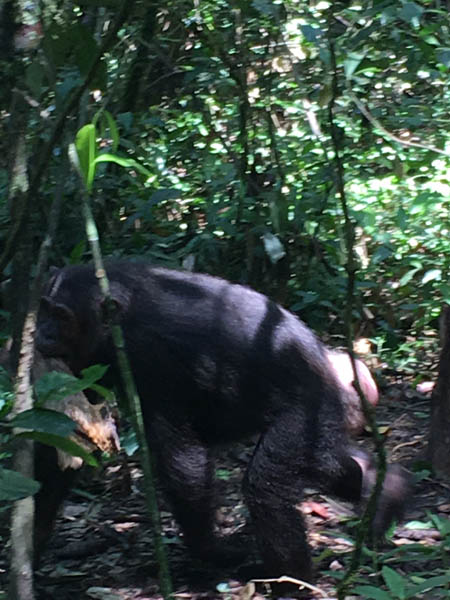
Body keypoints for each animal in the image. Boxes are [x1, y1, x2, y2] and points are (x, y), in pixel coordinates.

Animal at [36, 262, 412, 584]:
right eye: (44, 309)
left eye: (61, 316)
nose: (43, 333)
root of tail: (332, 364)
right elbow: (67, 433)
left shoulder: (154, 356)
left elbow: (182, 458)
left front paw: (213, 550)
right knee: (329, 463)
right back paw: (385, 487)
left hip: (308, 412)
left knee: (268, 485)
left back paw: (291, 579)